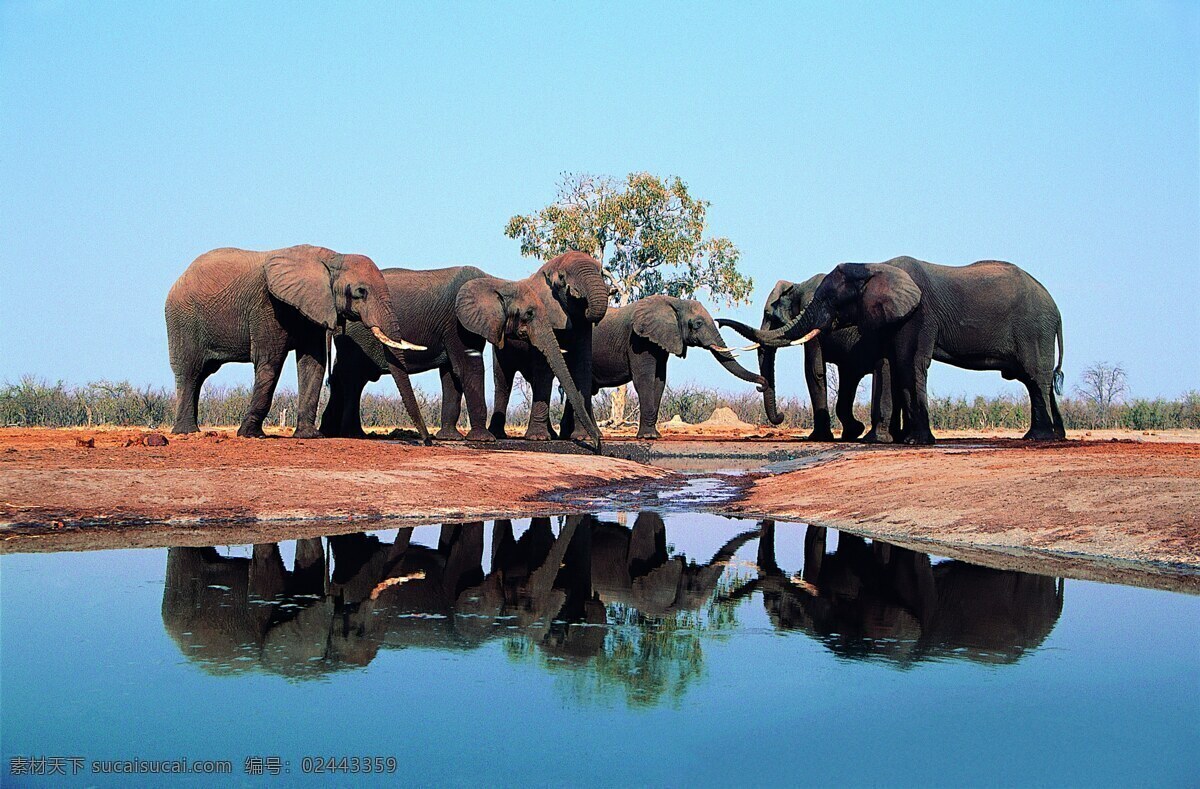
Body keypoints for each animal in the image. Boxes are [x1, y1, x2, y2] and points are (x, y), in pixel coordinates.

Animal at [166, 242, 429, 438]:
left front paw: (309, 435)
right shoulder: (268, 306)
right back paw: (186, 432)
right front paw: (250, 435)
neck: (331, 259)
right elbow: (270, 363)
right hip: (182, 320)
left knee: (201, 374)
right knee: (190, 372)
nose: (426, 441)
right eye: (360, 292)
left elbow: (313, 363)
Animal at [319, 262, 496, 436]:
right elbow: (466, 368)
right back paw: (352, 434)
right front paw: (483, 439)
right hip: (357, 338)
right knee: (354, 378)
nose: (428, 441)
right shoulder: (457, 324)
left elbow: (451, 372)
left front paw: (451, 437)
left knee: (342, 378)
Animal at [568, 296, 758, 441]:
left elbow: (659, 380)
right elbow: (644, 380)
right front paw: (648, 437)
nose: (761, 383)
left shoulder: (661, 342)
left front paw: (654, 435)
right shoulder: (639, 340)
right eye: (697, 324)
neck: (675, 302)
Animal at [710, 273, 902, 438]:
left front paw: (819, 437)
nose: (781, 416)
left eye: (768, 315)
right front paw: (853, 431)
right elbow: (845, 376)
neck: (797, 286)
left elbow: (813, 370)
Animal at [753, 256, 1065, 441]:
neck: (872, 265)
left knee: (1035, 377)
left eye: (769, 314)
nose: (779, 418)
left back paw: (1038, 437)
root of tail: (1056, 308)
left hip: (1034, 328)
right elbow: (883, 366)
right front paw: (874, 437)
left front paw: (913, 441)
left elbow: (905, 363)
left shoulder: (919, 314)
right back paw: (1054, 435)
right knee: (1038, 379)